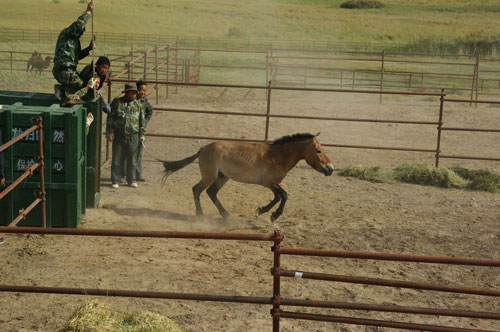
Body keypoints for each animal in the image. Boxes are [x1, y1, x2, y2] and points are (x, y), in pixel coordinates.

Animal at [158, 132, 334, 220]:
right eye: (318, 150)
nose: (330, 169)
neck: (277, 156)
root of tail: (203, 149)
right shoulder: (268, 182)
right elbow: (283, 195)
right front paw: (273, 215)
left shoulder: (272, 184)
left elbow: (278, 197)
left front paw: (262, 211)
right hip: (209, 176)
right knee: (197, 190)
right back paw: (200, 215)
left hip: (222, 177)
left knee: (211, 192)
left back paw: (226, 215)